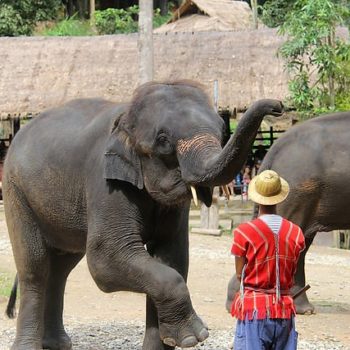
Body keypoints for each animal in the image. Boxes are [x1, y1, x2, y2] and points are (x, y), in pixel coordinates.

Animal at [2, 80, 284, 350]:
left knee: (61, 267)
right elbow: (105, 261)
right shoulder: (105, 181)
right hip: (15, 190)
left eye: (222, 130)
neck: (127, 115)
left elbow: (171, 258)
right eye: (163, 140)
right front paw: (195, 337)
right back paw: (29, 345)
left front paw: (175, 339)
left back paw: (56, 344)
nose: (277, 105)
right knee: (35, 267)